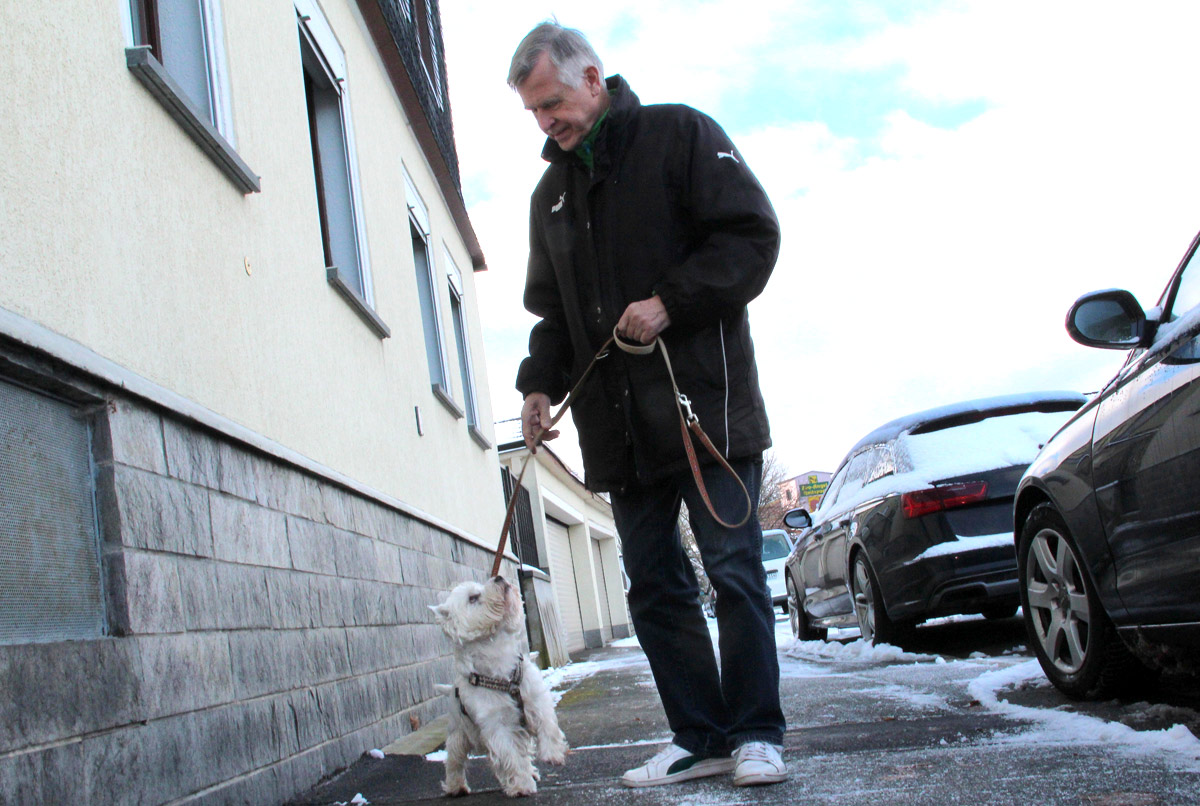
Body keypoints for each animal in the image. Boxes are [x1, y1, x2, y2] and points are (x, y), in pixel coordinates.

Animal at [432, 575, 566, 796]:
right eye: (473, 597)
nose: (499, 577)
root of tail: (451, 689)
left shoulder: (536, 698)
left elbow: (547, 725)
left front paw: (553, 754)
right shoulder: (496, 725)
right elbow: (511, 756)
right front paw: (522, 785)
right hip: (459, 732)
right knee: (455, 760)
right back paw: (456, 787)